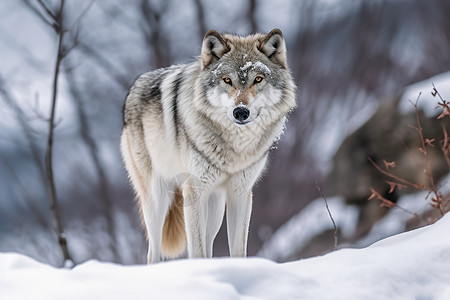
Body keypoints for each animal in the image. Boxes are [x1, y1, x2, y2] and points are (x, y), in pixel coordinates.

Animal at [121, 28, 298, 262]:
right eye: (227, 80)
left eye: (258, 79)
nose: (240, 112)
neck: (235, 146)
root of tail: (134, 85)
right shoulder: (194, 193)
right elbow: (197, 251)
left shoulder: (240, 193)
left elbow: (238, 251)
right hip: (157, 199)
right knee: (153, 253)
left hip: (214, 208)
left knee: (209, 243)